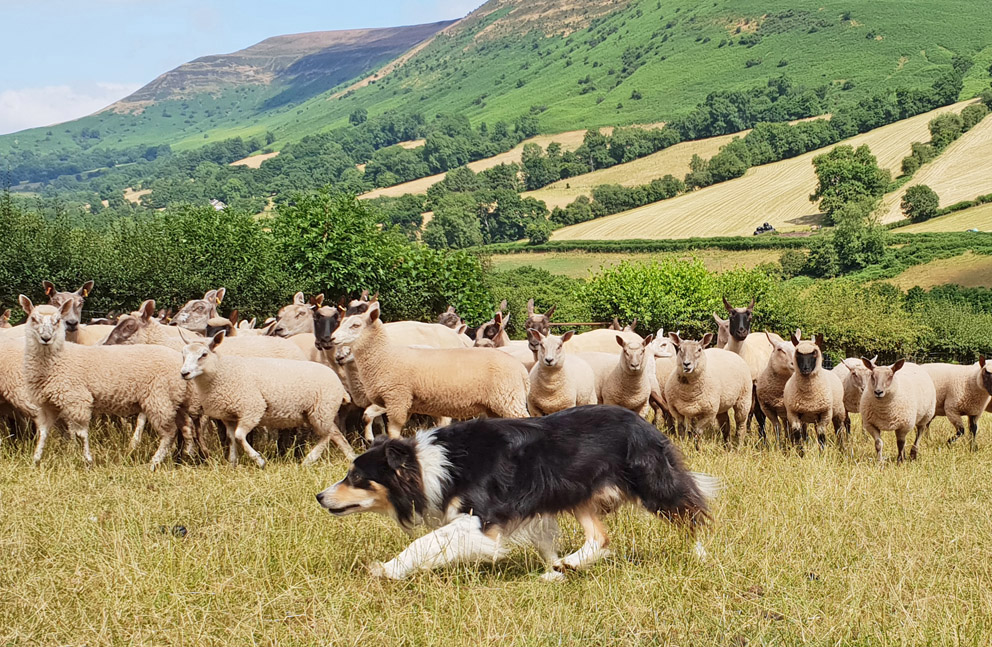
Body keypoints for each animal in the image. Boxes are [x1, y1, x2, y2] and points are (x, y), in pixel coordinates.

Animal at [182, 334, 352, 466]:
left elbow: (239, 436)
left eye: (203, 354)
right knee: (333, 433)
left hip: (322, 411)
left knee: (326, 435)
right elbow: (231, 439)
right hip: (315, 413)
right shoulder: (228, 416)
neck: (221, 372)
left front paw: (259, 460)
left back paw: (309, 459)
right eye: (184, 354)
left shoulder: (252, 409)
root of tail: (340, 384)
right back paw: (349, 456)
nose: (184, 373)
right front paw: (232, 463)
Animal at [318, 404, 720, 584]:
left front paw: (387, 569)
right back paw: (568, 565)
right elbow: (543, 540)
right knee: (601, 537)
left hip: (652, 483)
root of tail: (645, 422)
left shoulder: (481, 518)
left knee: (692, 512)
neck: (427, 465)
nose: (320, 496)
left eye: (356, 476)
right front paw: (552, 569)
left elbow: (426, 542)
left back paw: (700, 554)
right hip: (577, 492)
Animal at [330, 302, 532, 438]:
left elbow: (390, 430)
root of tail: (522, 371)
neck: (385, 355)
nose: (331, 340)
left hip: (509, 401)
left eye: (355, 325)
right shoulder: (400, 403)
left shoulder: (396, 399)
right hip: (496, 406)